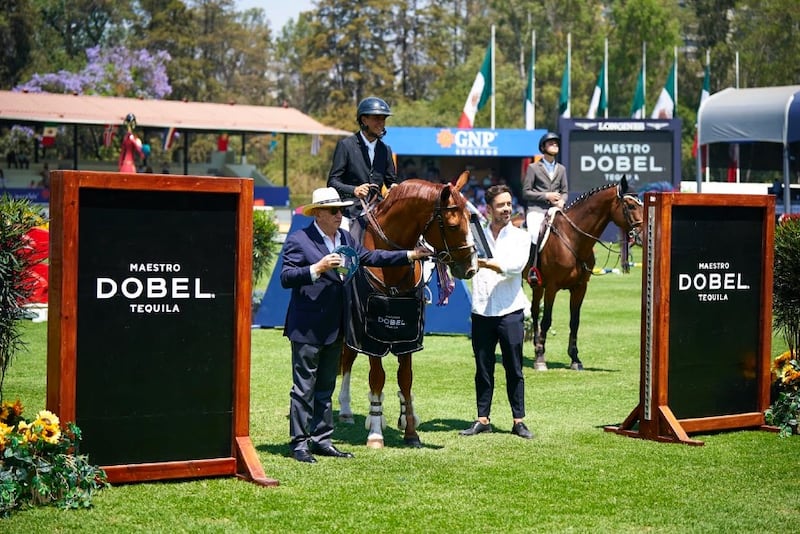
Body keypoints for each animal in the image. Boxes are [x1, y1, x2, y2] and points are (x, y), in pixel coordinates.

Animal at [336, 175, 476, 448]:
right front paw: (375, 434)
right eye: (453, 225)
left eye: (471, 219)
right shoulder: (371, 335)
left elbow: (406, 378)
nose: (471, 268)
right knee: (347, 359)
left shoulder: (408, 335)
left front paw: (411, 430)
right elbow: (377, 377)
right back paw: (346, 411)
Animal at [524, 176, 644, 372]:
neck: (572, 238)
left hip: (537, 286)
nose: (641, 236)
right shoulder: (552, 287)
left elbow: (575, 321)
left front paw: (575, 359)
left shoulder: (580, 288)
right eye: (631, 205)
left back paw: (536, 345)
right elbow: (547, 320)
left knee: (534, 311)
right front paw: (540, 359)